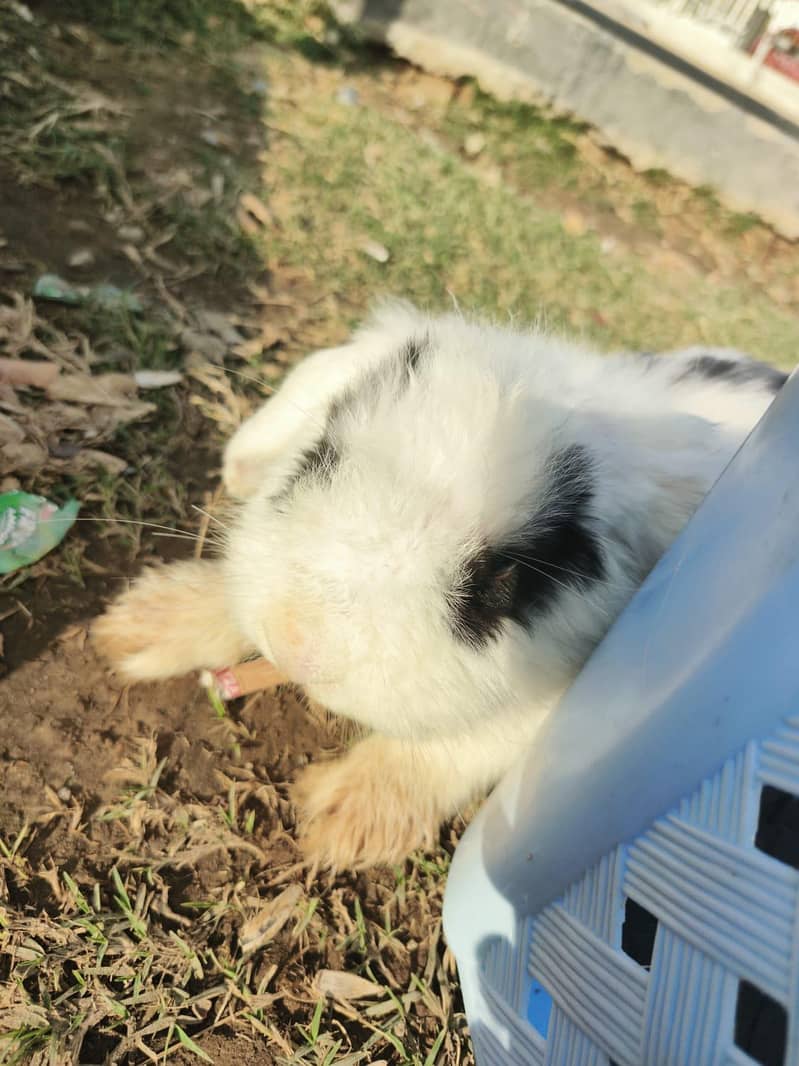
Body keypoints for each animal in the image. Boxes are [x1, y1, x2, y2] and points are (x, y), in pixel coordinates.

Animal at [94, 302, 789, 869]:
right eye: (320, 458)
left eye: (506, 576)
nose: (295, 642)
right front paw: (136, 630)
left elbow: (457, 746)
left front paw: (341, 821)